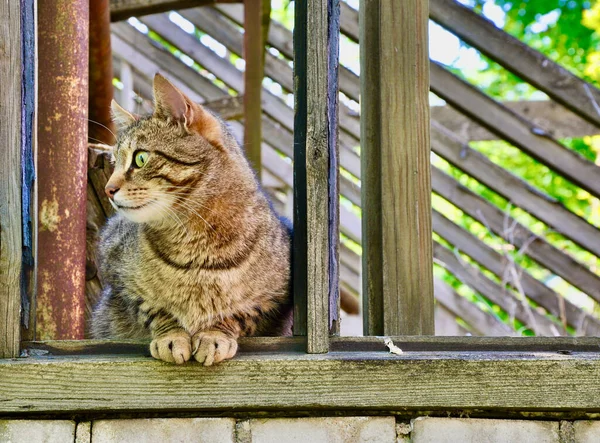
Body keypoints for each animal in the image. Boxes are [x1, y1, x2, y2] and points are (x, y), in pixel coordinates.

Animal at [91, 74, 292, 368]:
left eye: (140, 158)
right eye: (114, 162)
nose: (108, 189)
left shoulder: (273, 297)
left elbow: (241, 314)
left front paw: (215, 335)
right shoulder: (117, 273)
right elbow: (152, 308)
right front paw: (171, 336)